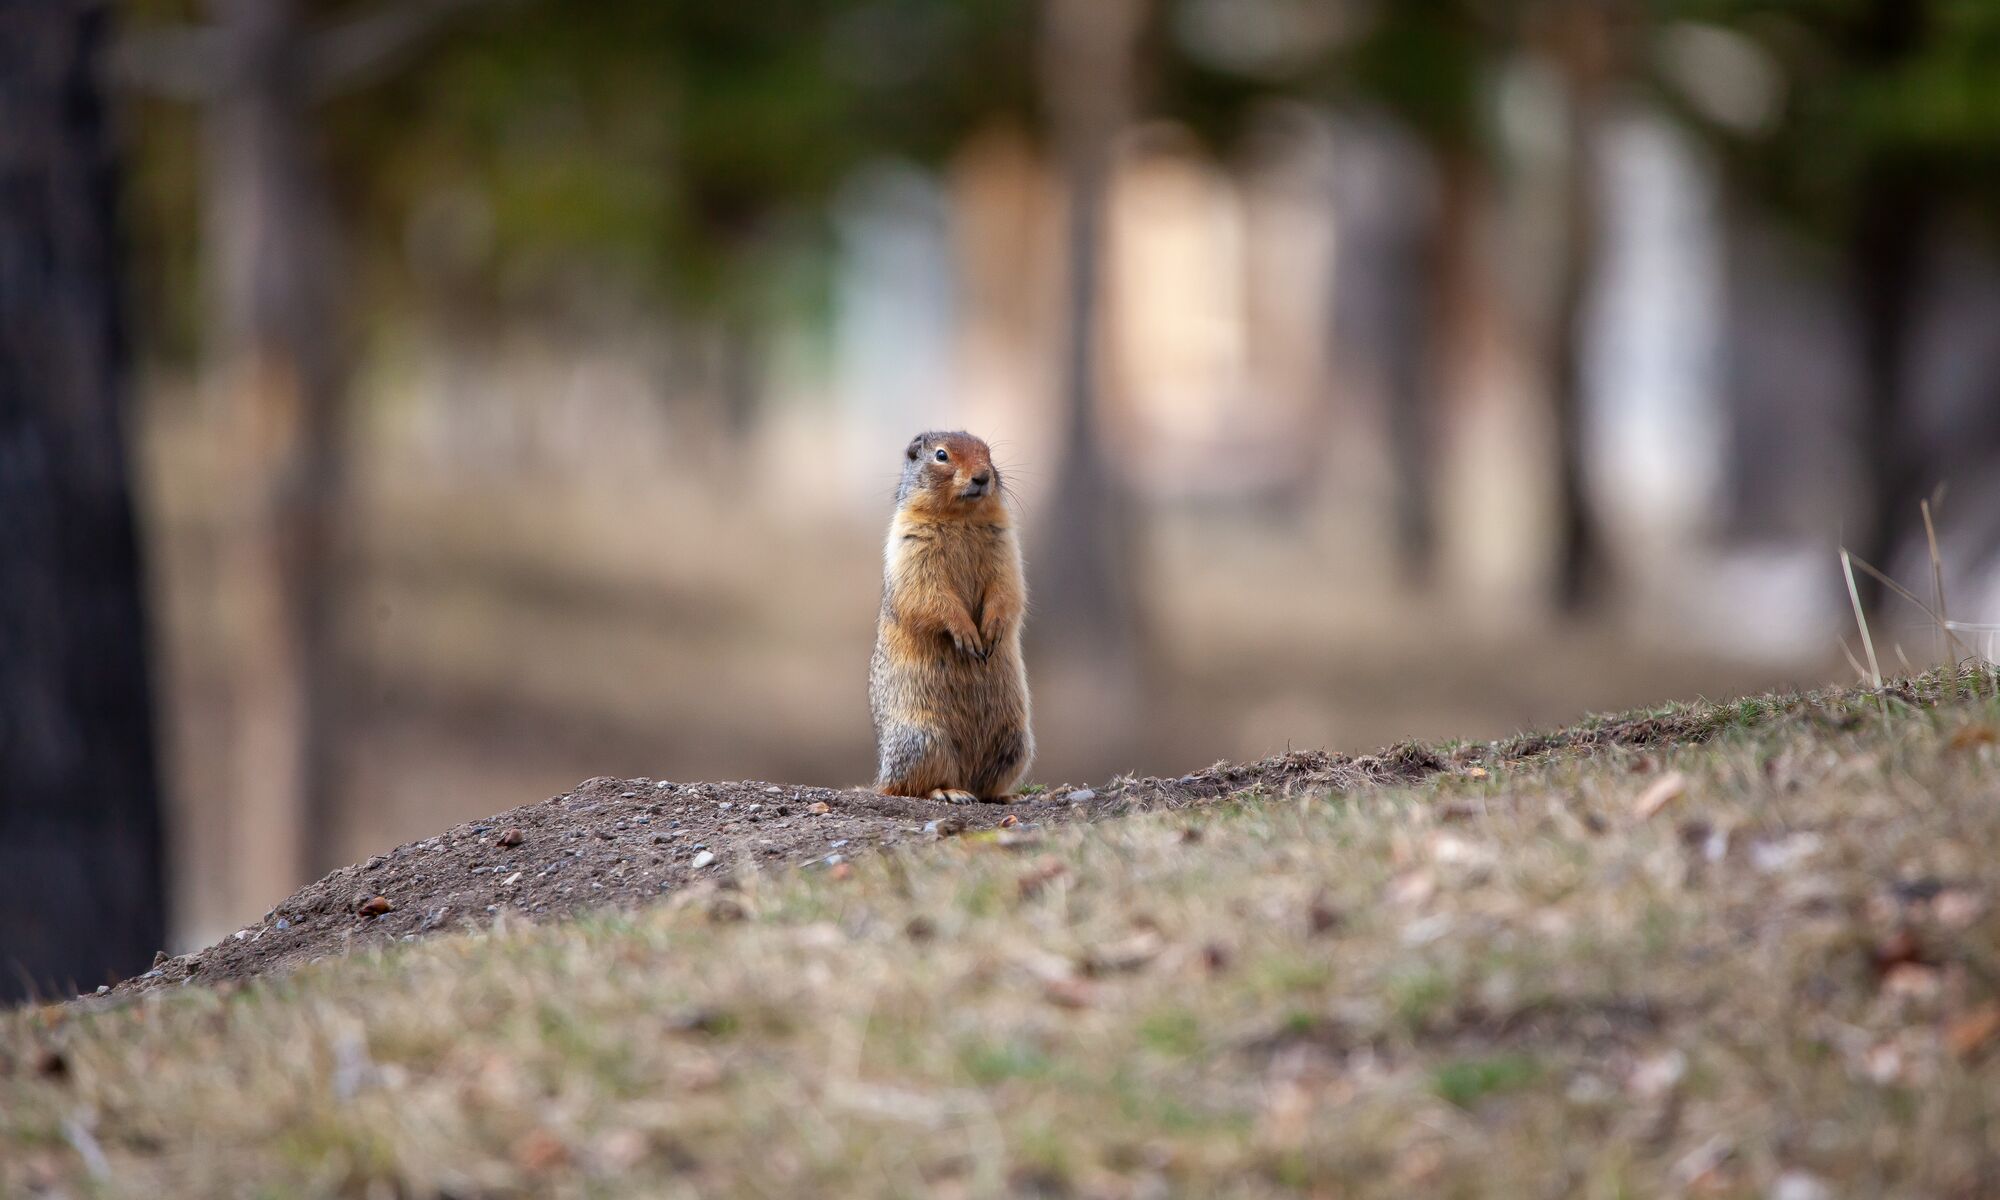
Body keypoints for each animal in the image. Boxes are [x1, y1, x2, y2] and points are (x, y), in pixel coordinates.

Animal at [869, 431, 1033, 805]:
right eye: (941, 455)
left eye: (988, 453)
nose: (983, 477)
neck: (962, 517)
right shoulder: (912, 545)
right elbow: (932, 595)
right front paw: (967, 635)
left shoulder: (1005, 544)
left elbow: (1007, 587)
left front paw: (992, 628)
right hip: (922, 739)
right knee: (912, 786)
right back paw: (949, 792)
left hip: (1016, 741)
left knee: (987, 784)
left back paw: (1005, 796)